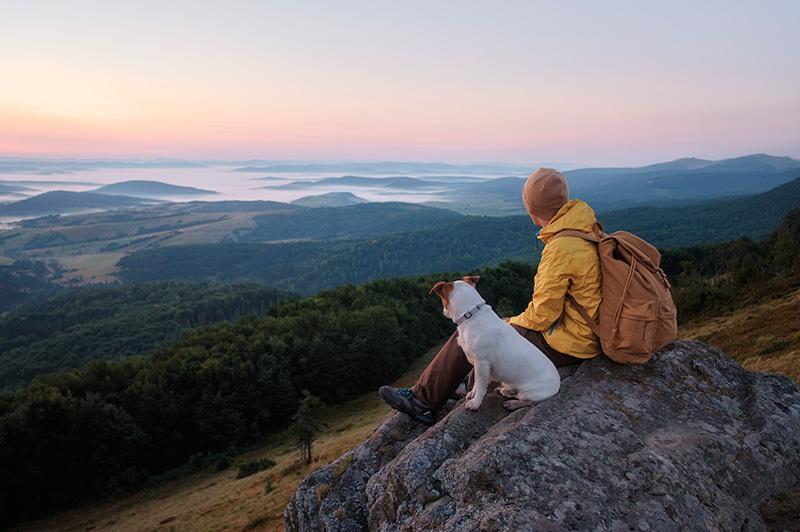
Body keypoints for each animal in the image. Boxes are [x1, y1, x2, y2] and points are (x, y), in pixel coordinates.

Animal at [428, 276, 560, 410]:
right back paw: (506, 390)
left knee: (528, 401)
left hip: (531, 393)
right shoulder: (476, 363)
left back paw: (512, 402)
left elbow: (480, 386)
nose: (443, 311)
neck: (471, 315)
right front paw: (472, 394)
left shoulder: (481, 363)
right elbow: (476, 383)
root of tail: (558, 385)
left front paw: (475, 403)